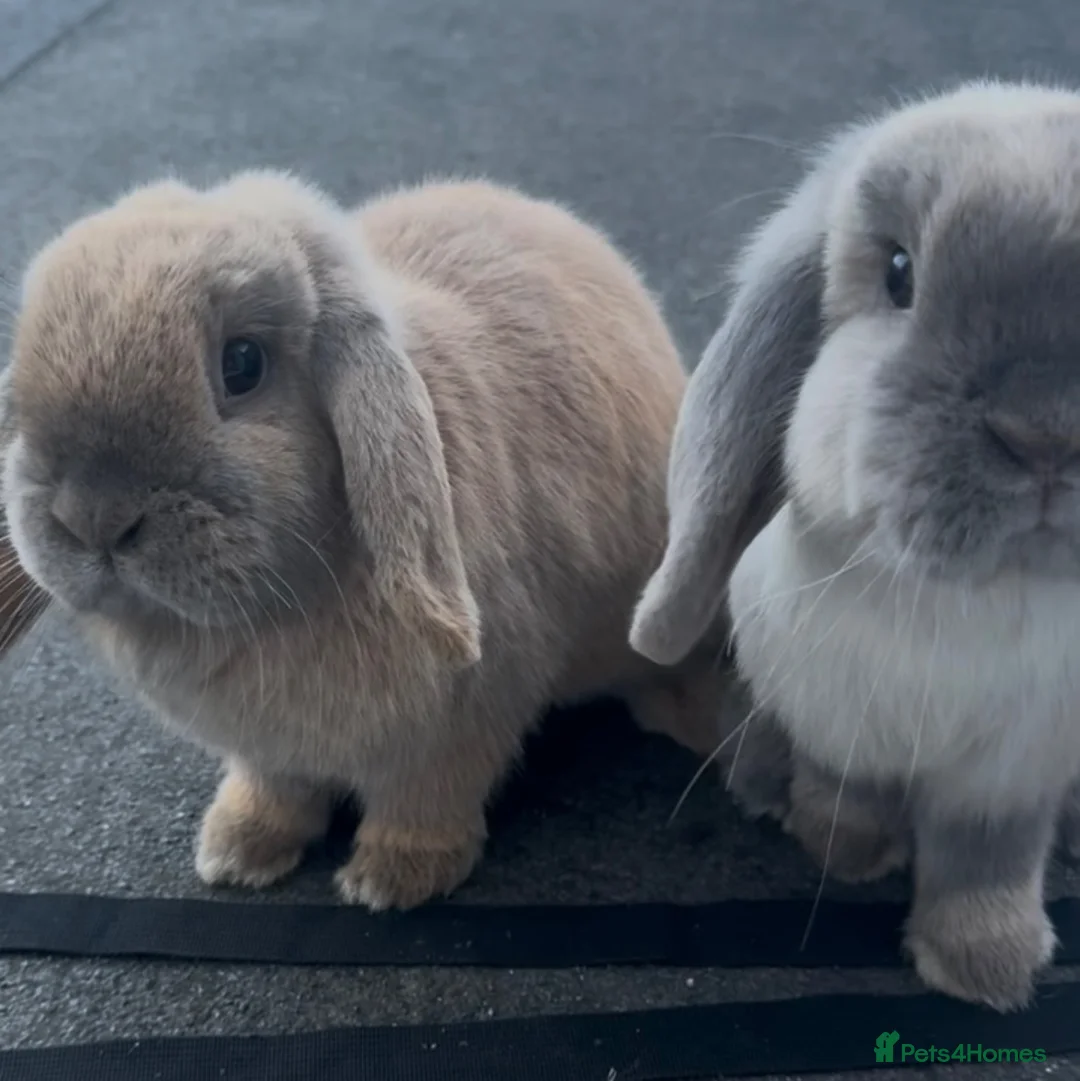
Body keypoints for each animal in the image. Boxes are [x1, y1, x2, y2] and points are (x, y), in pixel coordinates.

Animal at [0, 171, 734, 911]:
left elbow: (426, 801)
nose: (91, 517)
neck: (278, 606)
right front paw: (237, 851)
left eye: (242, 364)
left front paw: (391, 880)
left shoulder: (461, 723)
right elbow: (274, 791)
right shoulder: (269, 752)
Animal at [629, 77, 1080, 1011]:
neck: (975, 605)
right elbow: (846, 790)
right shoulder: (839, 721)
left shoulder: (1009, 776)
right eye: (899, 273)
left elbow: (986, 860)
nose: (1046, 433)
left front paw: (987, 968)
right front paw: (844, 850)